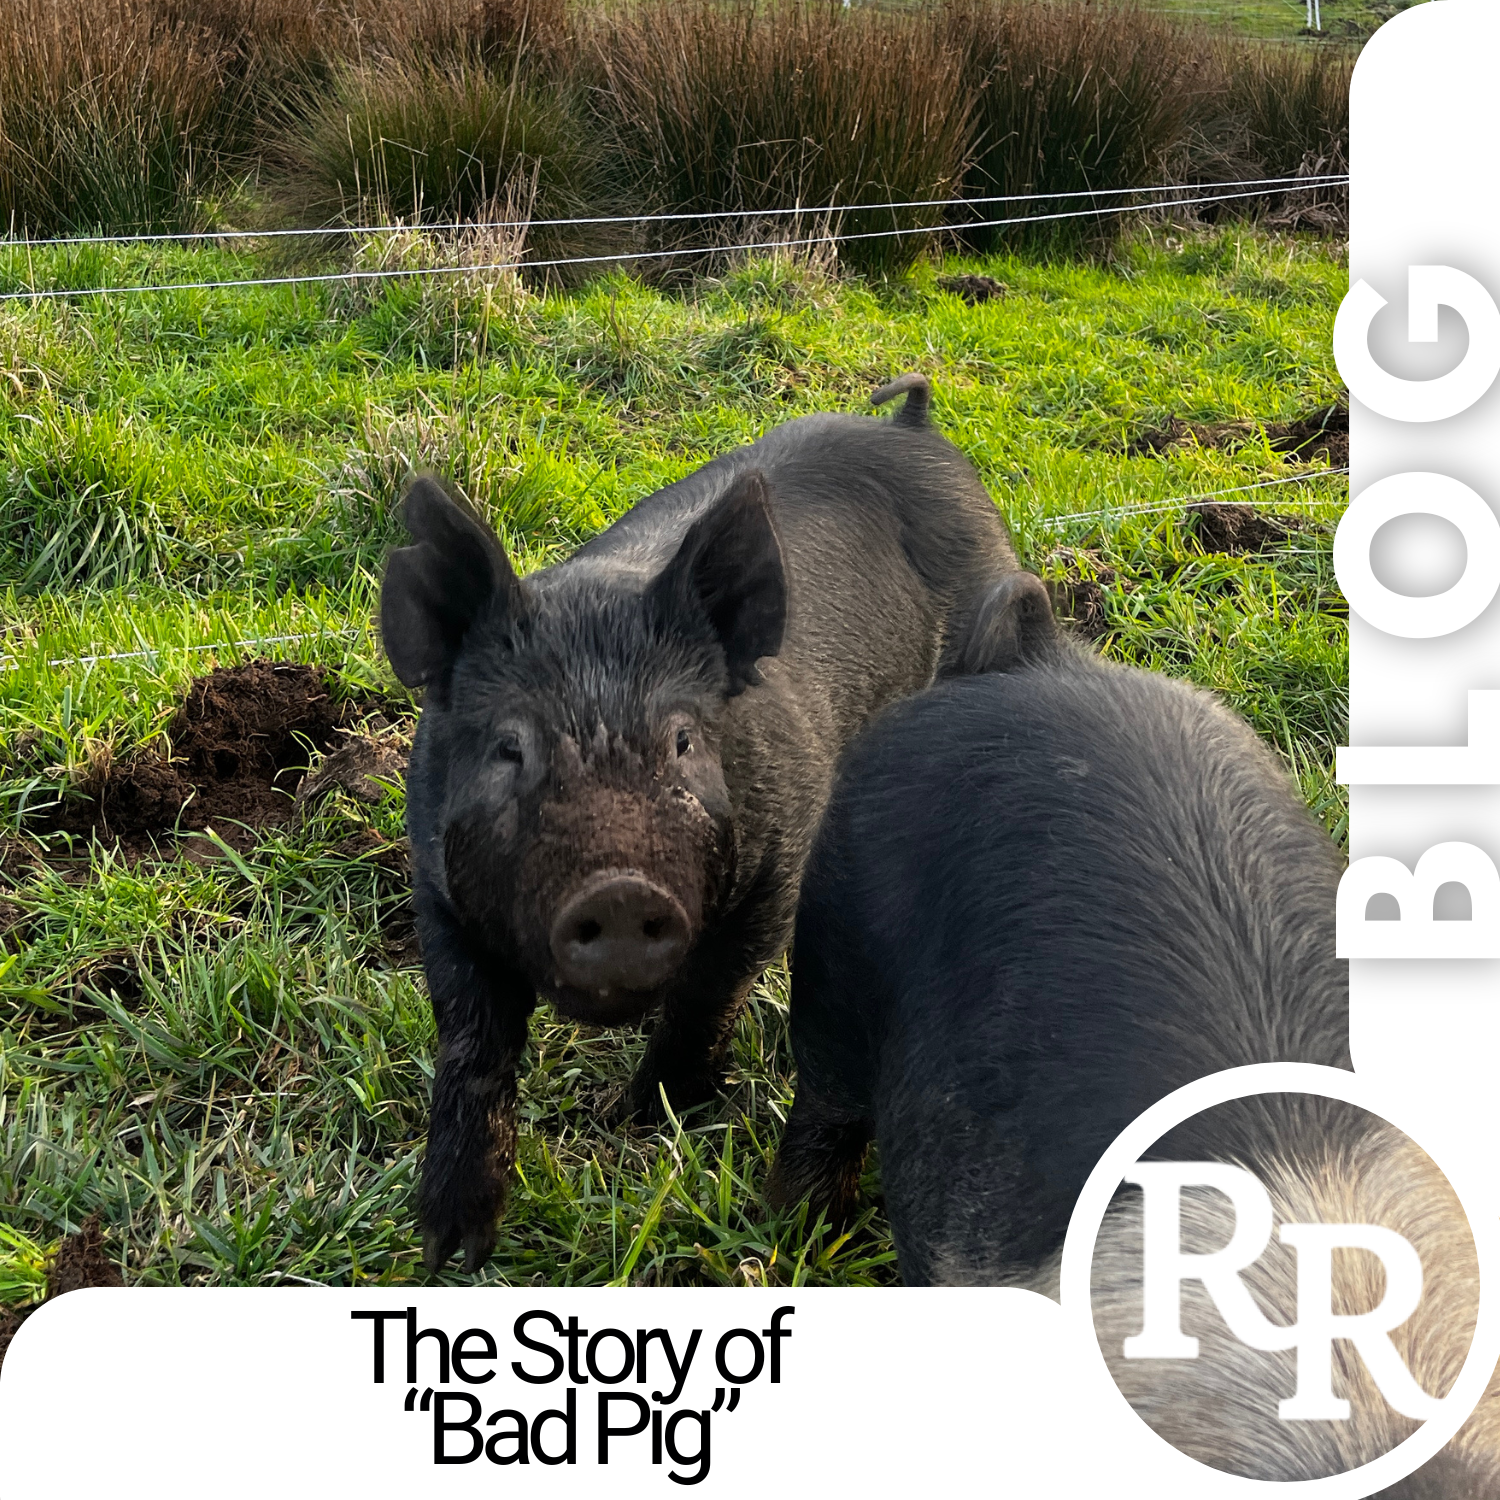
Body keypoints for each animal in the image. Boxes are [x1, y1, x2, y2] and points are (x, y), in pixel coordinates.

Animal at [379, 374, 1018, 1270]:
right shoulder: (436, 887)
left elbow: (707, 993)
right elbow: (471, 1040)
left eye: (683, 741)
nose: (615, 891)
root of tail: (914, 428)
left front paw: (641, 1120)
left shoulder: (779, 868)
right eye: (509, 747)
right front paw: (448, 1249)